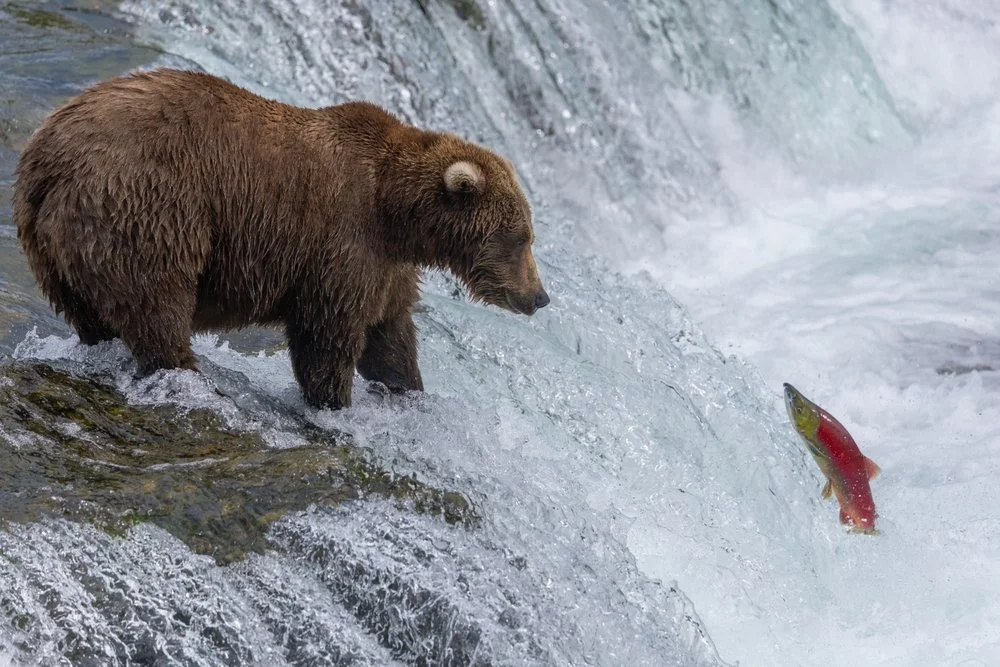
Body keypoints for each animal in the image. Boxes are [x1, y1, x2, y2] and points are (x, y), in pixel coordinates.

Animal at [13, 69, 549, 409]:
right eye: (521, 237)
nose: (539, 297)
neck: (396, 212)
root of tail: (48, 159)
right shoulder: (342, 237)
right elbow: (327, 336)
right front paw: (334, 403)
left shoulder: (384, 266)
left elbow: (389, 335)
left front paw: (407, 388)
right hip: (149, 206)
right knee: (156, 304)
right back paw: (189, 376)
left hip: (53, 244)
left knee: (91, 313)